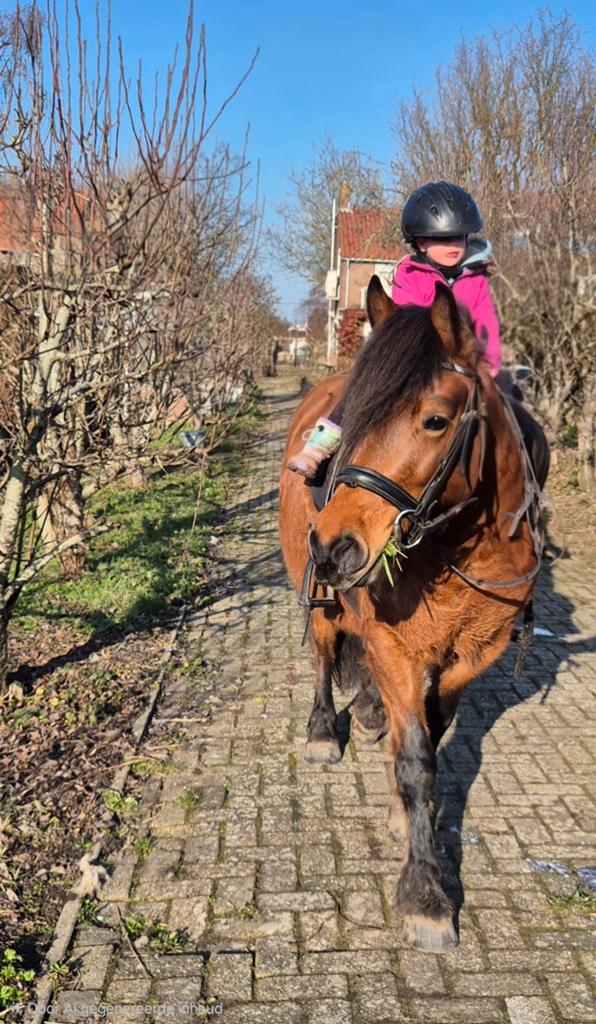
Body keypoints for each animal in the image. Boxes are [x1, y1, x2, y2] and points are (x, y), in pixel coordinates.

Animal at [278, 276, 549, 954]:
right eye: (356, 414)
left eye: (434, 420)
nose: (334, 546)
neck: (456, 549)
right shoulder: (395, 648)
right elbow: (416, 760)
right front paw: (425, 890)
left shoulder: (471, 656)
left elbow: (434, 732)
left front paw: (411, 815)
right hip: (320, 600)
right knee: (325, 654)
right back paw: (324, 729)